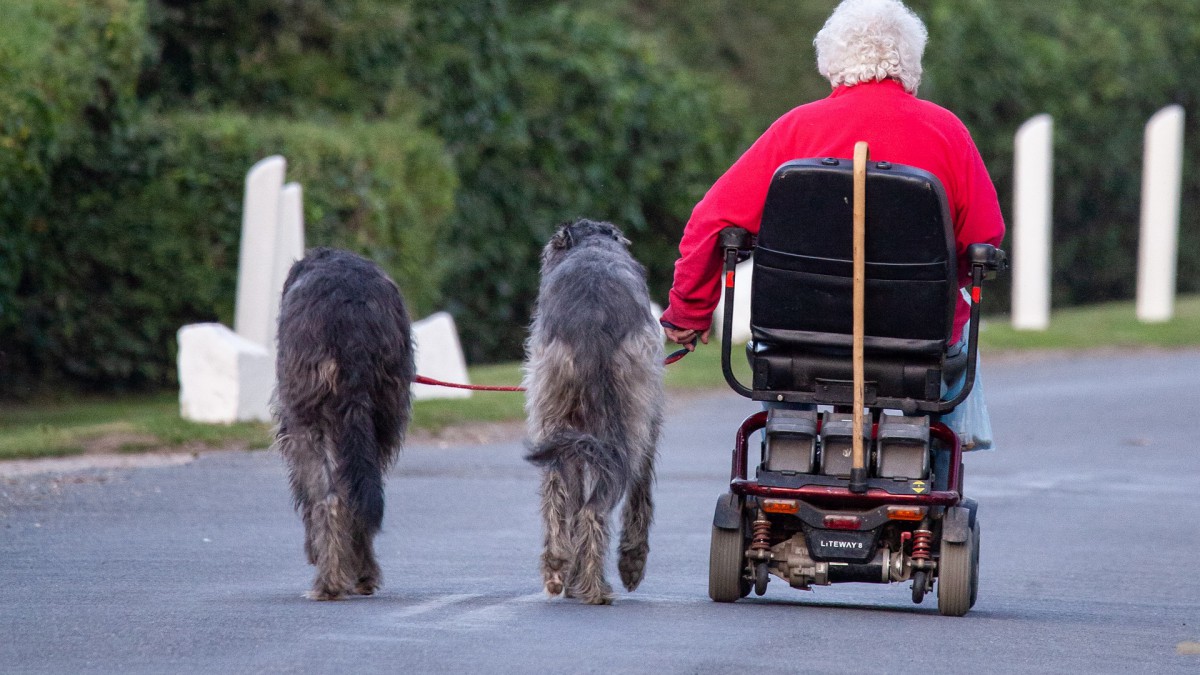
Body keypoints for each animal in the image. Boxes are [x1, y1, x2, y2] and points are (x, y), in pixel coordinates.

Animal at [274, 247, 415, 598]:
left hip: (309, 421)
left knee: (327, 498)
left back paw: (329, 582)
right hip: (380, 411)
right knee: (360, 492)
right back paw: (361, 573)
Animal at [523, 218, 667, 600]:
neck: (593, 245)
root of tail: (593, 321)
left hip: (553, 412)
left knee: (562, 494)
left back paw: (559, 567)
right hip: (630, 415)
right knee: (600, 504)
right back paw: (598, 584)